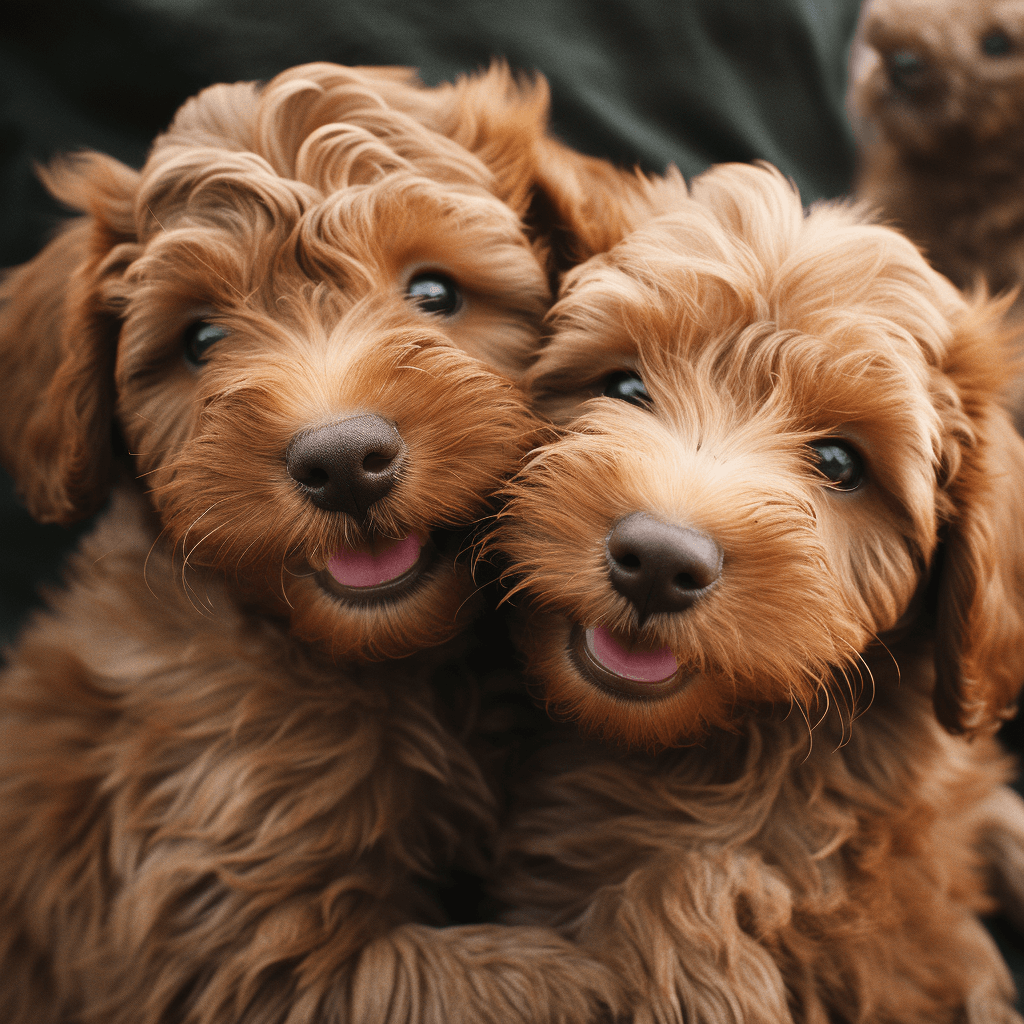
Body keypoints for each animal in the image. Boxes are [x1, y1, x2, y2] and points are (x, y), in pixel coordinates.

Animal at [0, 61, 626, 1024]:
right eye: (202, 338)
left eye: (435, 293)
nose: (343, 462)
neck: (380, 664)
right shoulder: (229, 921)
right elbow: (450, 980)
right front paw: (585, 980)